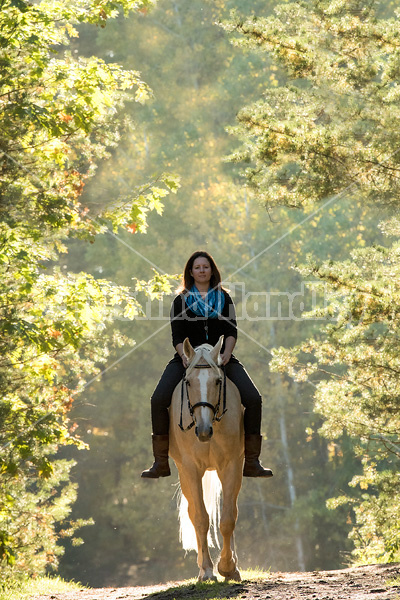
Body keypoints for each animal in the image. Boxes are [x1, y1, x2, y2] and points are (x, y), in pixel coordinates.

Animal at [169, 336, 244, 580]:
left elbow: (228, 518)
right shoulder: (190, 469)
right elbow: (201, 518)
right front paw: (208, 570)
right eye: (189, 382)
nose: (203, 431)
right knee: (194, 513)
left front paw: (228, 567)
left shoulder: (231, 466)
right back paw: (203, 566)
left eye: (218, 381)